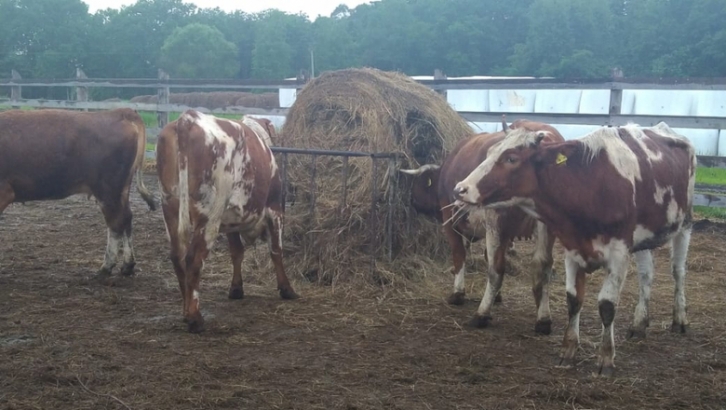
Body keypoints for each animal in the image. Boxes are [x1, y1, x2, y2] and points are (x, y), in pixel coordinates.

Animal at [0, 107, 159, 278]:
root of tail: (119, 112)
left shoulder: (5, 192)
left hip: (108, 189)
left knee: (116, 222)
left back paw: (106, 267)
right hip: (120, 190)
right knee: (126, 219)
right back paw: (127, 265)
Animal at [157, 109, 298, 334]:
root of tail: (189, 118)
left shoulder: (232, 221)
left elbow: (237, 253)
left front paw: (236, 288)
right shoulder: (275, 209)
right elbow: (276, 250)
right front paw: (287, 289)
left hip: (170, 207)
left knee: (177, 257)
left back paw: (186, 311)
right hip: (209, 216)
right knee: (193, 259)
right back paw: (195, 318)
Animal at [400, 119, 564, 336]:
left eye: (418, 184)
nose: (411, 201)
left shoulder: (451, 222)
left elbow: (460, 255)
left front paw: (458, 293)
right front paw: (497, 297)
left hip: (495, 223)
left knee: (496, 270)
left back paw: (482, 314)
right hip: (544, 228)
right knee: (542, 267)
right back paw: (543, 319)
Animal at [456, 121, 700, 374]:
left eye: (511, 158)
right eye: (490, 153)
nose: (461, 188)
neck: (589, 185)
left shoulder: (619, 253)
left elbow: (607, 305)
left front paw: (606, 358)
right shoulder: (573, 251)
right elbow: (573, 300)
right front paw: (568, 350)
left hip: (685, 223)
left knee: (678, 272)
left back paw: (679, 319)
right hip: (645, 237)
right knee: (646, 275)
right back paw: (639, 324)